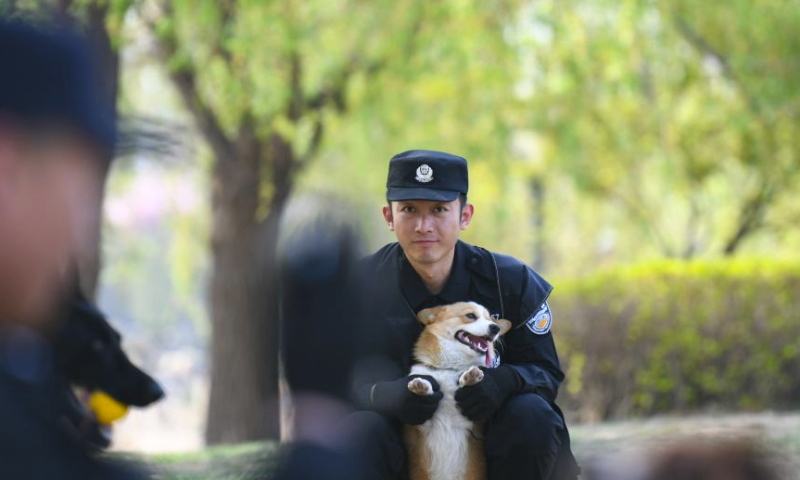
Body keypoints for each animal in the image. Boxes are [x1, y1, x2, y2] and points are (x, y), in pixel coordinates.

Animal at [406, 302, 512, 480]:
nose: (496, 328)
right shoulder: (419, 427)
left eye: (491, 320)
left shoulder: (473, 422)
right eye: (470, 316)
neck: (449, 368)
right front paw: (422, 387)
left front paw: (469, 377)